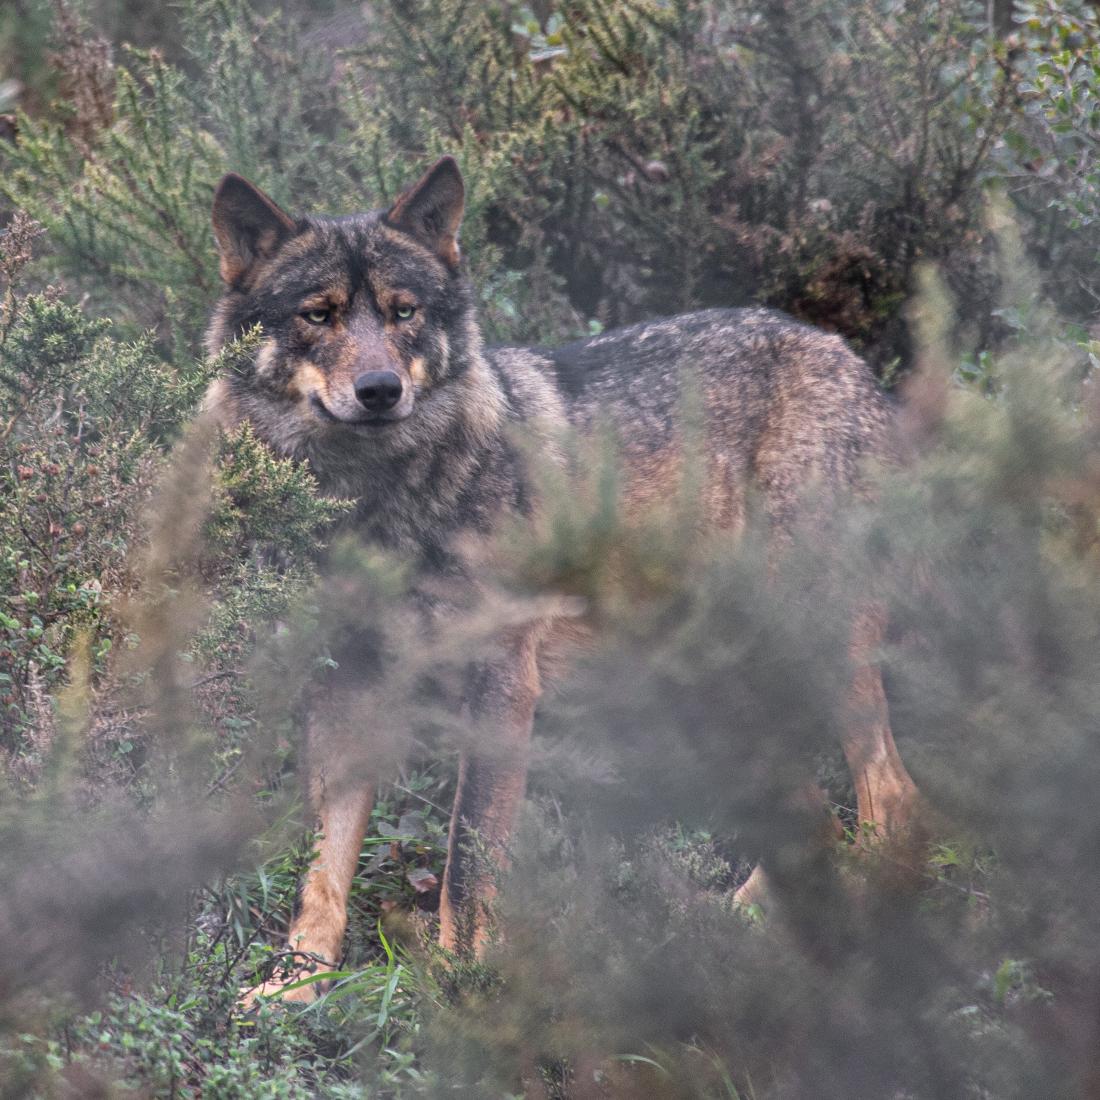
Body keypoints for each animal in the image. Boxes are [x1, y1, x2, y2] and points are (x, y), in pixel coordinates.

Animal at [203, 156, 922, 1000]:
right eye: (319, 315)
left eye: (404, 312)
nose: (380, 390)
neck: (376, 507)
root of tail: (849, 357)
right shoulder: (343, 691)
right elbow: (322, 871)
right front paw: (295, 986)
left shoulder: (502, 689)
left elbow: (465, 866)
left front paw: (456, 992)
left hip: (808, 649)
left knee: (893, 806)